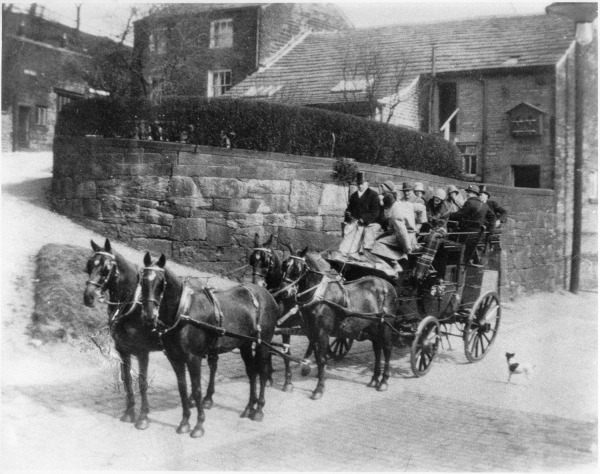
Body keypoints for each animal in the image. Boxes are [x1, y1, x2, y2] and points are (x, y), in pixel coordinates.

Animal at [141, 252, 278, 436]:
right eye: (142, 280)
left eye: (161, 282)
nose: (149, 316)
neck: (184, 312)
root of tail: (266, 294)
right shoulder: (175, 358)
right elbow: (182, 389)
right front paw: (184, 422)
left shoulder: (194, 358)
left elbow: (197, 389)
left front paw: (199, 425)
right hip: (245, 345)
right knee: (251, 372)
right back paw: (249, 407)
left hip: (263, 344)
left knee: (262, 372)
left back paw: (259, 410)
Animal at [280, 248, 398, 400]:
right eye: (284, 265)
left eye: (296, 268)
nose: (284, 292)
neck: (319, 295)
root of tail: (388, 285)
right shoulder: (312, 332)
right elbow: (318, 358)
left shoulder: (322, 333)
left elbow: (322, 360)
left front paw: (319, 389)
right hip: (372, 326)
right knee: (377, 350)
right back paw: (374, 379)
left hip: (385, 326)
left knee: (387, 350)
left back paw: (383, 381)